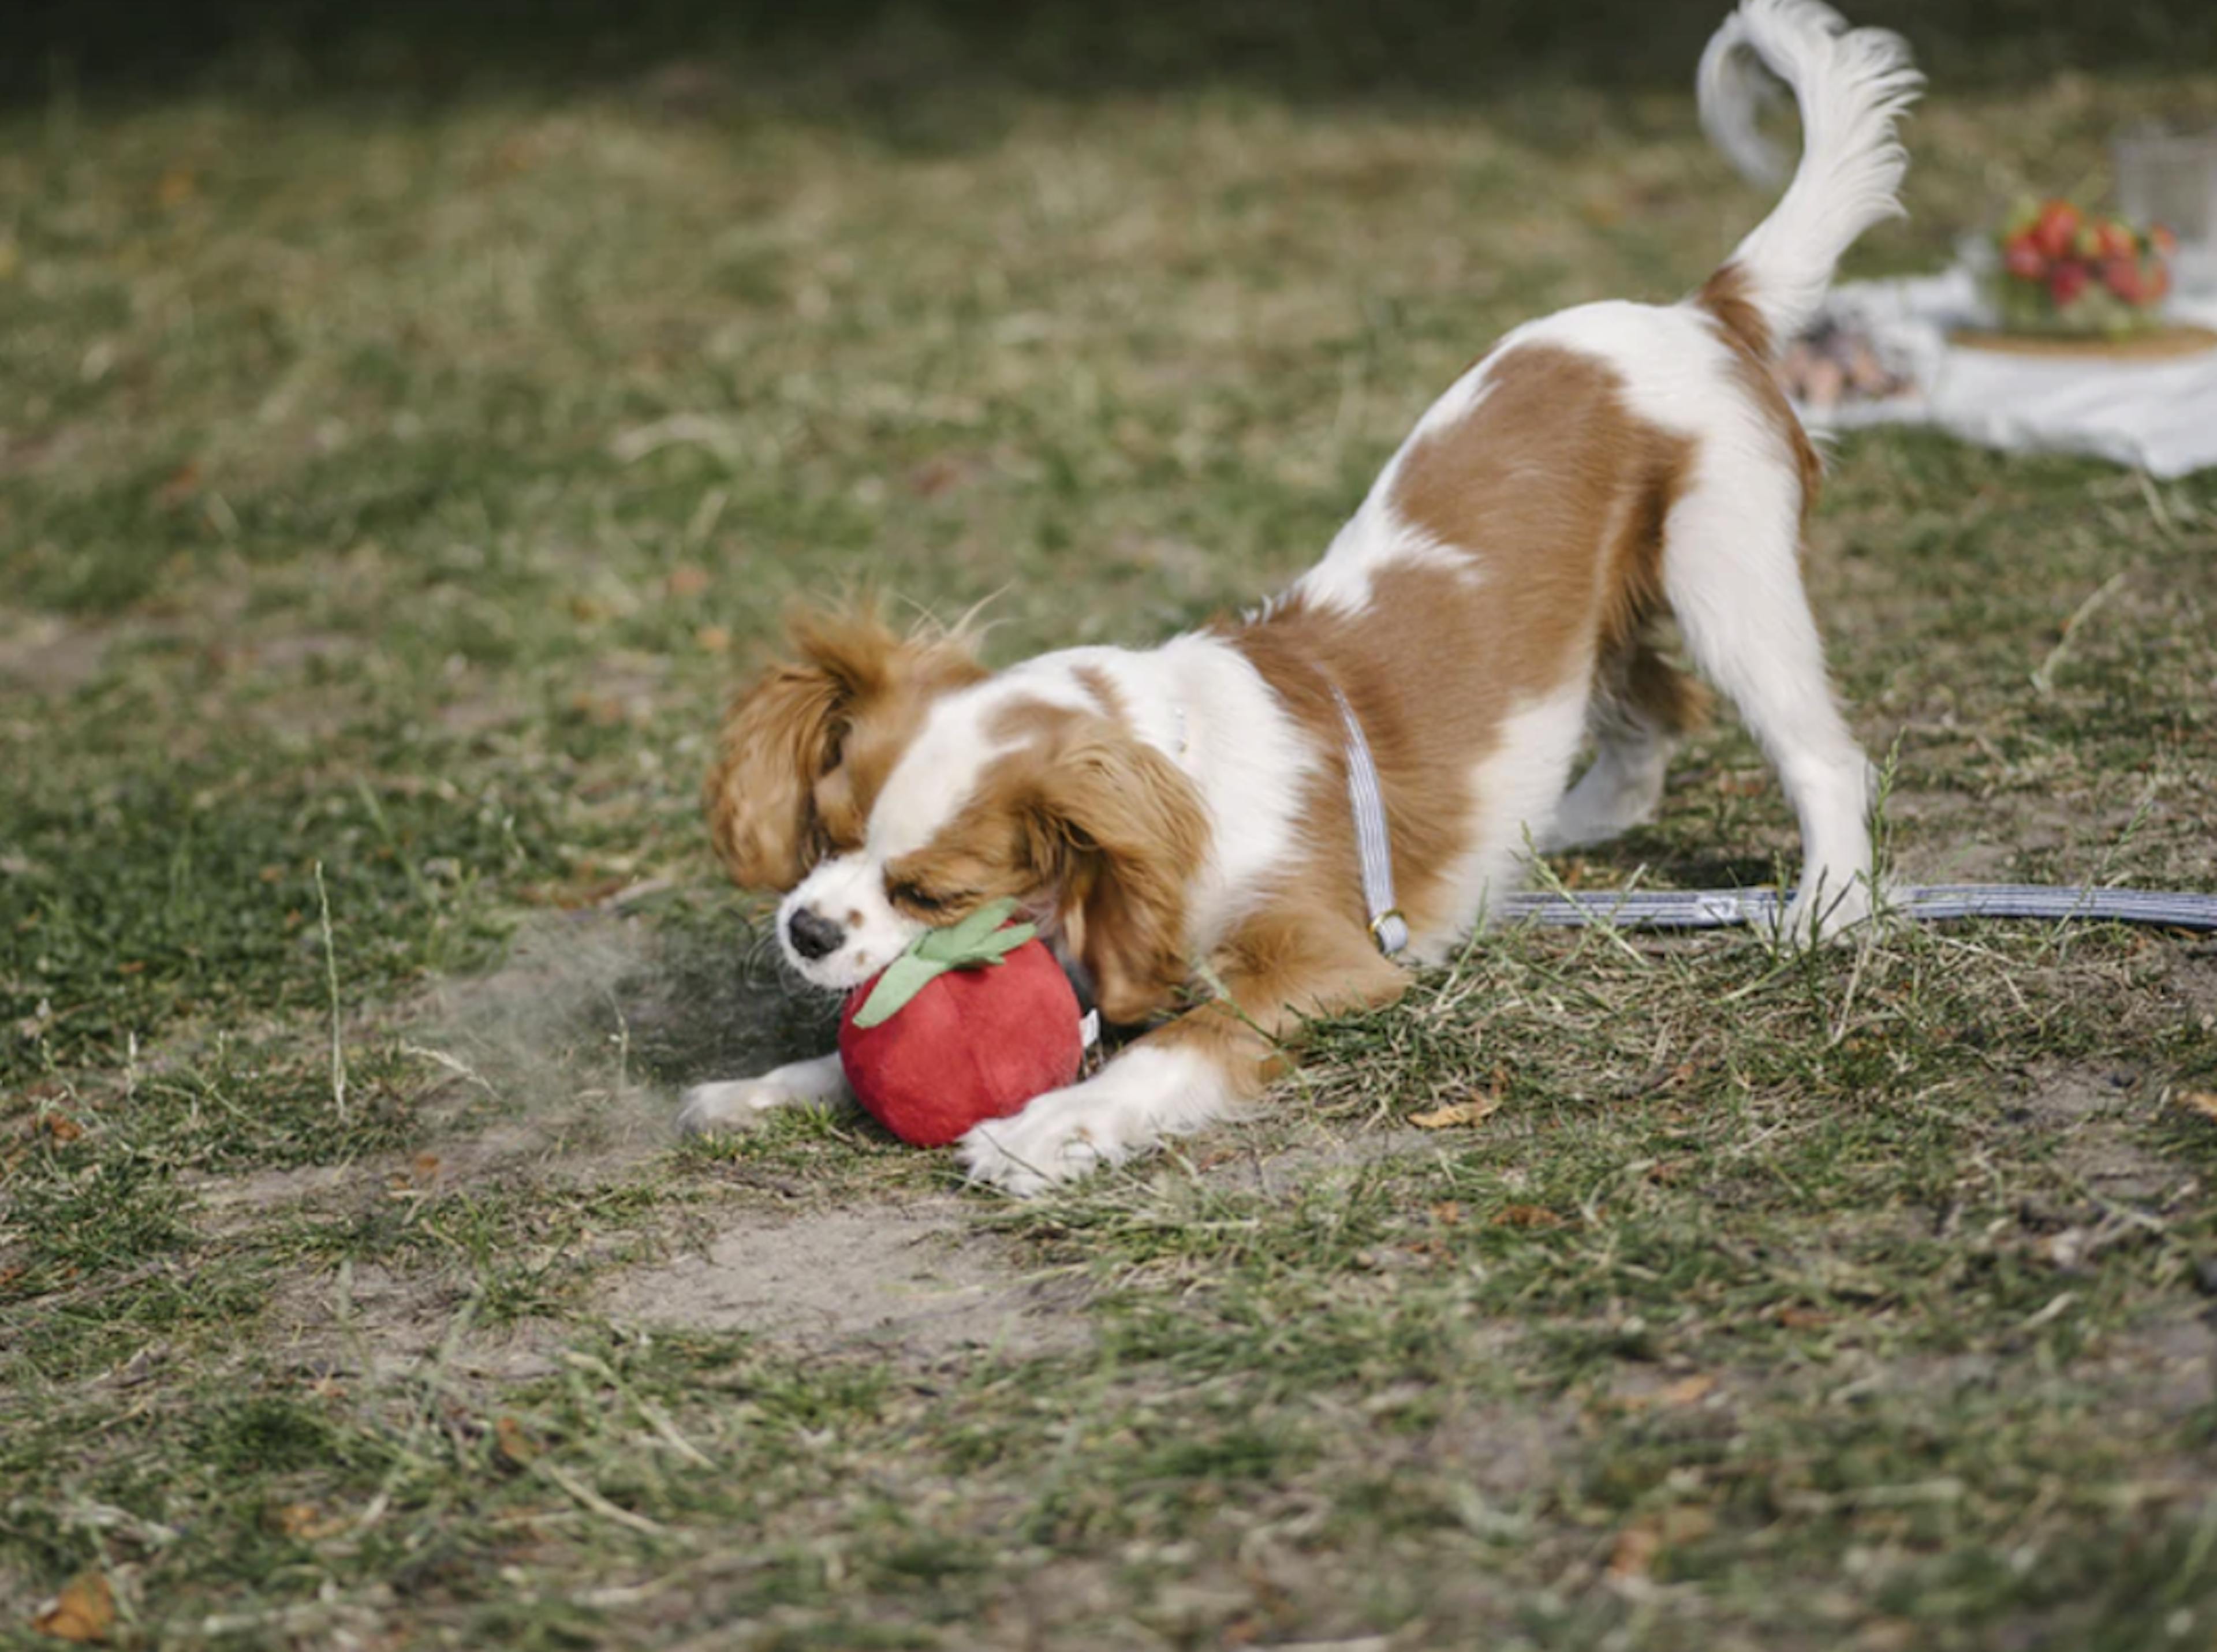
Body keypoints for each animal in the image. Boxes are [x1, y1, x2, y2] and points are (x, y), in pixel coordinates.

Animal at [674, 0, 1924, 1188]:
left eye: (930, 893)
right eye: (824, 833)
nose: (806, 928)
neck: (1181, 776)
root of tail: (1701, 310)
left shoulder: (1331, 958)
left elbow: (1176, 1045)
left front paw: (1049, 1130)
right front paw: (767, 1087)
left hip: (1727, 572)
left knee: (1818, 756)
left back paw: (1828, 908)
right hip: (1616, 604)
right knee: (1651, 713)